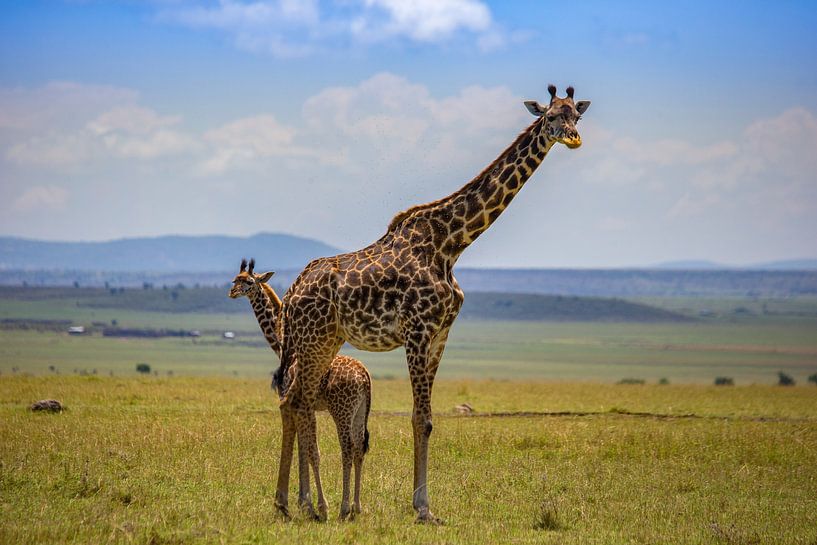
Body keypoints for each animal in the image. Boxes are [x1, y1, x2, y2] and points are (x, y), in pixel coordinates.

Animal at [229, 259, 372, 521]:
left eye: (250, 282)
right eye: (235, 279)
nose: (232, 292)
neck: (283, 346)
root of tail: (365, 376)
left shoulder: (299, 403)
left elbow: (308, 449)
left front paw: (313, 505)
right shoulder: (307, 407)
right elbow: (304, 447)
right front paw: (306, 502)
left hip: (342, 410)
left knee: (347, 448)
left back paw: (343, 508)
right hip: (359, 411)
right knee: (358, 448)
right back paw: (356, 507)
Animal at [277, 85, 590, 523]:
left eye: (576, 115)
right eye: (550, 117)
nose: (574, 139)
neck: (452, 244)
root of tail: (290, 293)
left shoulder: (441, 333)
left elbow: (425, 420)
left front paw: (423, 505)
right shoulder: (418, 331)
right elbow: (419, 417)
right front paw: (422, 508)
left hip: (326, 340)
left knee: (295, 401)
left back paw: (289, 502)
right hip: (312, 339)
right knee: (296, 402)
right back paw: (310, 504)